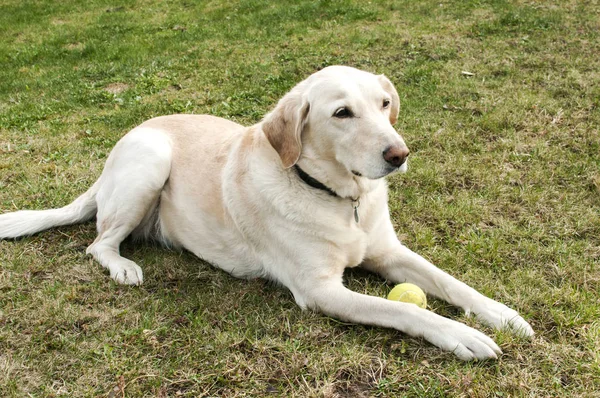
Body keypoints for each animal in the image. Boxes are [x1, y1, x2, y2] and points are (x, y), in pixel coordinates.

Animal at [0, 66, 536, 360]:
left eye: (385, 104)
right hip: (149, 162)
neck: (339, 199)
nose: (399, 155)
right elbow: (403, 309)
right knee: (98, 242)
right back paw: (123, 267)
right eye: (342, 113)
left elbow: (450, 282)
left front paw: (502, 314)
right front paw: (463, 336)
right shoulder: (320, 291)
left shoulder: (390, 253)